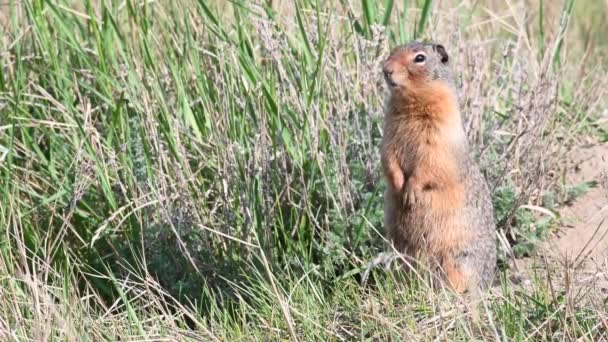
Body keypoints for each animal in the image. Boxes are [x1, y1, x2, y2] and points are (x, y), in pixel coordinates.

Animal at [382, 41, 496, 292]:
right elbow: (388, 157)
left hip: (457, 259)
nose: (386, 70)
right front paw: (398, 184)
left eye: (419, 58)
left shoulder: (439, 138)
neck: (412, 105)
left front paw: (410, 192)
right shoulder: (389, 135)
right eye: (392, 51)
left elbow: (430, 164)